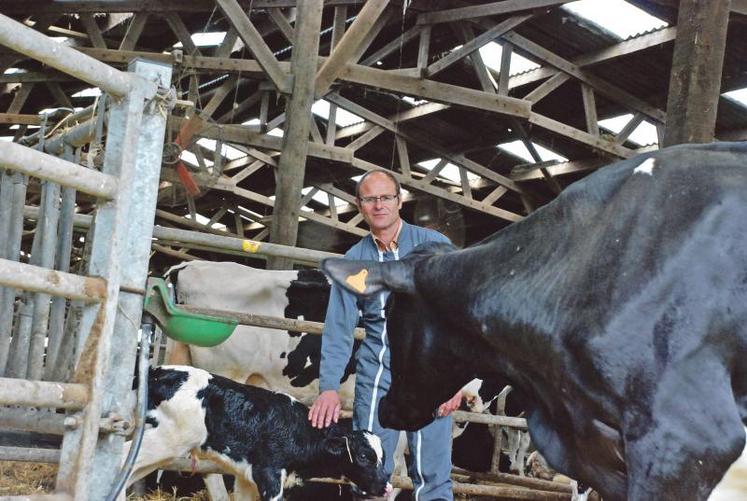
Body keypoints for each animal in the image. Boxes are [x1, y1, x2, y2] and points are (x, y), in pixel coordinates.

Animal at [124, 364, 392, 500]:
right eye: (364, 457)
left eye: (383, 456)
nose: (386, 486)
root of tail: (157, 371)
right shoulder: (269, 475)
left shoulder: (247, 478)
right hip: (166, 439)